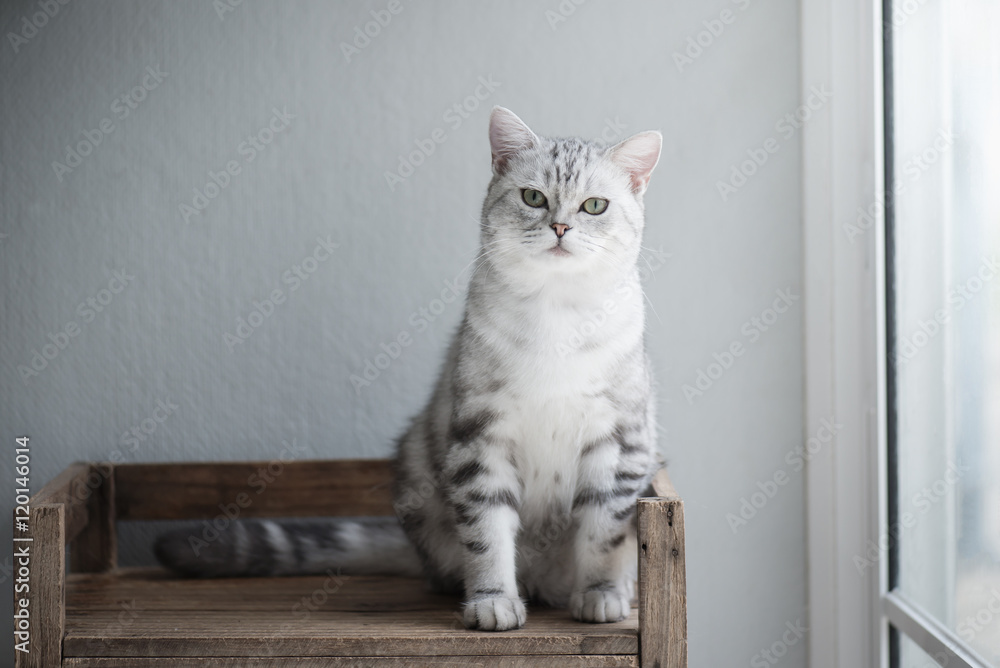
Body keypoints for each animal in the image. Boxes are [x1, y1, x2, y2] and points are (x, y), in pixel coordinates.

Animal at [158, 108, 664, 632]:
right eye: (533, 197)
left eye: (595, 206)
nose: (561, 227)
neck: (556, 313)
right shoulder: (480, 438)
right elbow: (487, 535)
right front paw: (491, 601)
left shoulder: (620, 441)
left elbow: (602, 534)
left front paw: (601, 594)